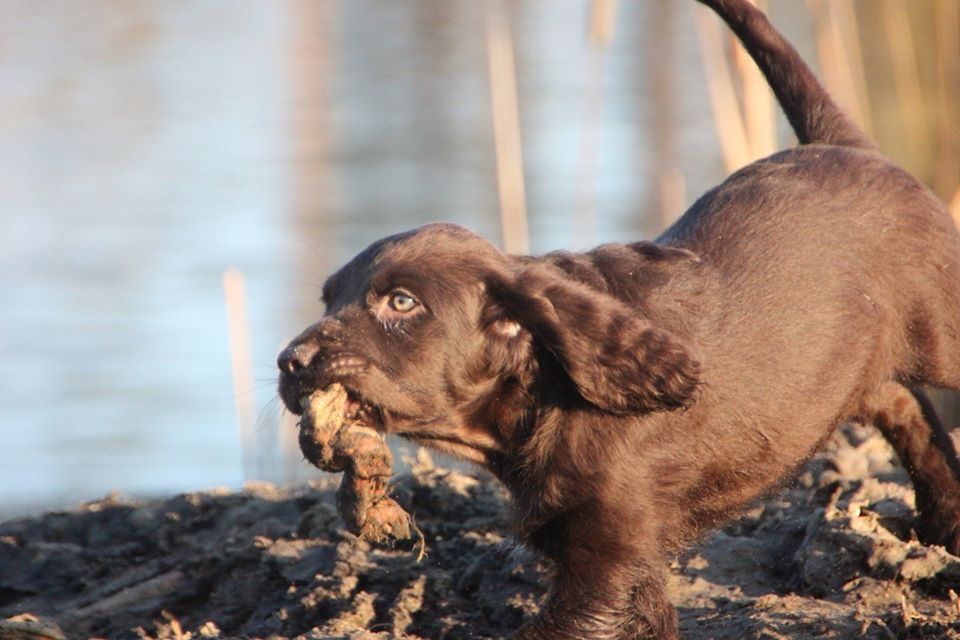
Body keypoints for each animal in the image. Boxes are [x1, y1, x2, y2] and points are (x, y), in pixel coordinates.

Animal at [278, 2, 960, 636]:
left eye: (401, 302)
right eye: (329, 299)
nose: (290, 362)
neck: (542, 396)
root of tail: (841, 143)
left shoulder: (606, 564)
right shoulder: (625, 562)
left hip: (941, 326)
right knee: (901, 402)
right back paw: (946, 514)